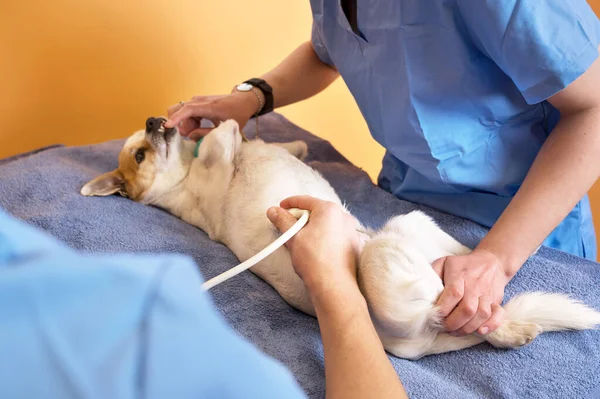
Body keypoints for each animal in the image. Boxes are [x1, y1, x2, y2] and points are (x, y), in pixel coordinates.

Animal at [81, 116, 600, 360]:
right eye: (140, 154)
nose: (155, 120)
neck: (187, 177)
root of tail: (420, 339)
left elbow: (273, 142)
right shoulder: (216, 167)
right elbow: (225, 138)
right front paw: (226, 129)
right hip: (398, 242)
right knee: (478, 311)